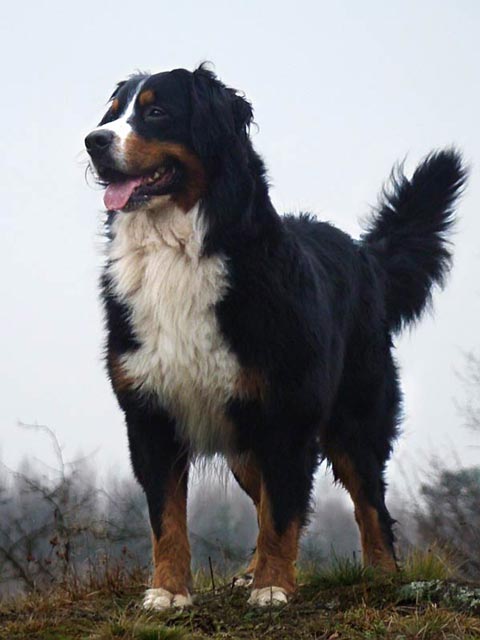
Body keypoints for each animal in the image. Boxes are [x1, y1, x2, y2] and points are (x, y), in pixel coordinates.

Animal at [84, 65, 466, 608]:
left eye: (156, 111)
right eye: (113, 114)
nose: (93, 141)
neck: (176, 252)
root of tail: (363, 254)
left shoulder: (287, 411)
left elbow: (283, 512)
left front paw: (272, 586)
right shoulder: (150, 411)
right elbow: (168, 517)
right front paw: (169, 592)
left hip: (353, 416)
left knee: (369, 500)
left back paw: (382, 573)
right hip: (243, 439)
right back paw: (247, 572)